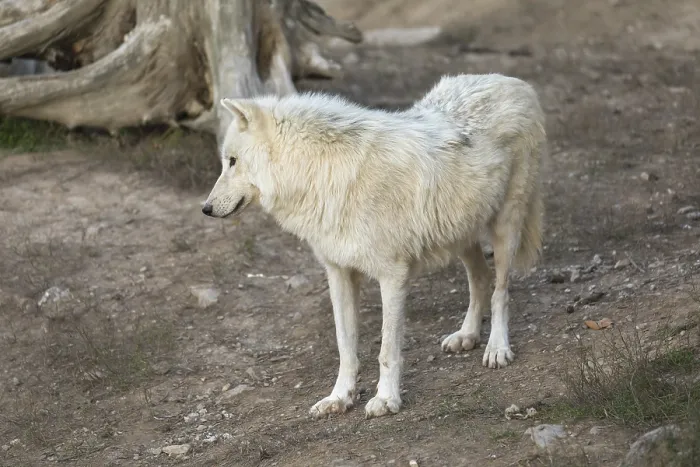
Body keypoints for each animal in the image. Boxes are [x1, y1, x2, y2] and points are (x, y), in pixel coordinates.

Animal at [202, 73, 546, 419]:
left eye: (232, 162)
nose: (205, 208)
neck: (322, 174)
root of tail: (512, 81)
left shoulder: (393, 276)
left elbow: (387, 349)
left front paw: (386, 399)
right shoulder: (338, 274)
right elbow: (345, 347)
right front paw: (339, 397)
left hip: (504, 227)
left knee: (500, 290)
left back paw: (497, 348)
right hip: (460, 234)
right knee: (480, 279)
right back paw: (467, 336)